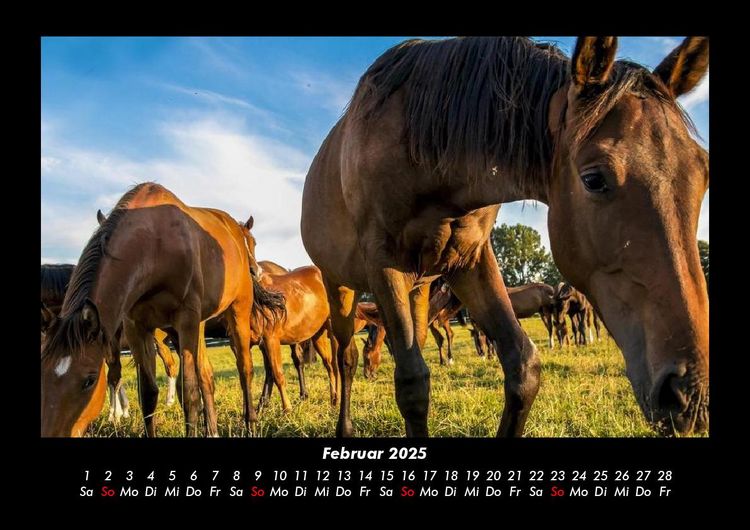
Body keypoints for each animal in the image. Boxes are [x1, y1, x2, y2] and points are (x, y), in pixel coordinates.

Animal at [41, 183, 281, 437]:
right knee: (206, 375)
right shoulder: (137, 328)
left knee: (244, 368)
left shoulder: (185, 320)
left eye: (89, 380)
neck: (155, 246)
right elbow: (148, 394)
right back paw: (213, 429)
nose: (50, 432)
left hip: (237, 312)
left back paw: (251, 424)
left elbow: (189, 392)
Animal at [301, 36, 709, 437]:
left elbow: (523, 367)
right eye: (594, 179)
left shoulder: (470, 261)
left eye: (703, 172)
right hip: (341, 286)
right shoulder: (383, 265)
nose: (690, 394)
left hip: (418, 289)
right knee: (346, 356)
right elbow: (412, 383)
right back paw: (345, 428)